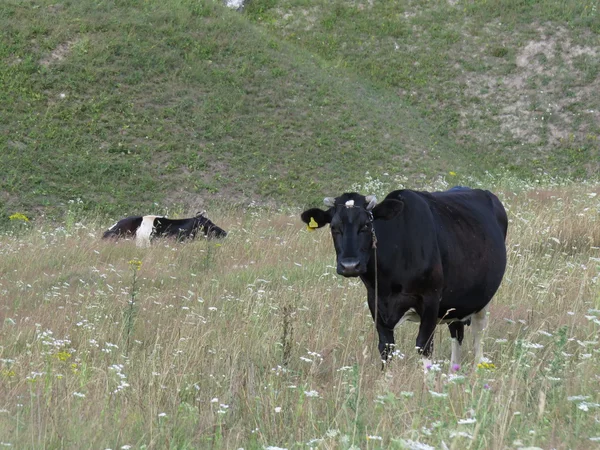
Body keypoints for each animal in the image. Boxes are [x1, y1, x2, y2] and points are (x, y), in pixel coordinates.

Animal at [300, 186, 506, 370]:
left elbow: (424, 346)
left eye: (366, 225)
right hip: (457, 301)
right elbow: (386, 347)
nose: (349, 265)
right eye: (334, 227)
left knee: (478, 332)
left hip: (481, 298)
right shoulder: (375, 302)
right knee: (457, 331)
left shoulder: (431, 299)